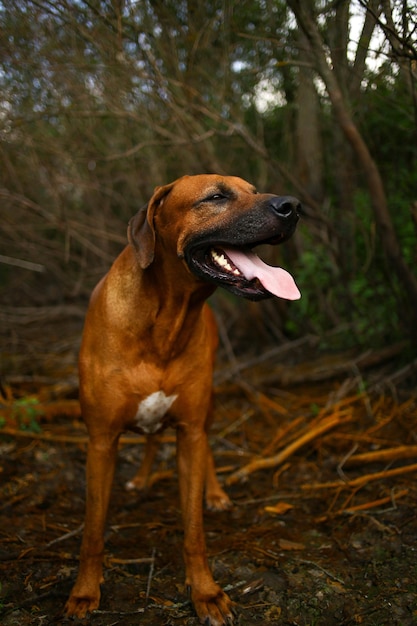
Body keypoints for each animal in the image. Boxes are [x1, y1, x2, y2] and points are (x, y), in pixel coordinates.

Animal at [64, 173, 300, 620]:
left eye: (254, 189)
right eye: (216, 196)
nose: (293, 206)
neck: (164, 320)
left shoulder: (190, 431)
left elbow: (194, 531)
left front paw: (205, 593)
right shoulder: (100, 441)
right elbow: (93, 531)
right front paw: (85, 592)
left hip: (207, 410)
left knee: (204, 447)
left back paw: (216, 494)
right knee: (152, 438)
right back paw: (141, 478)